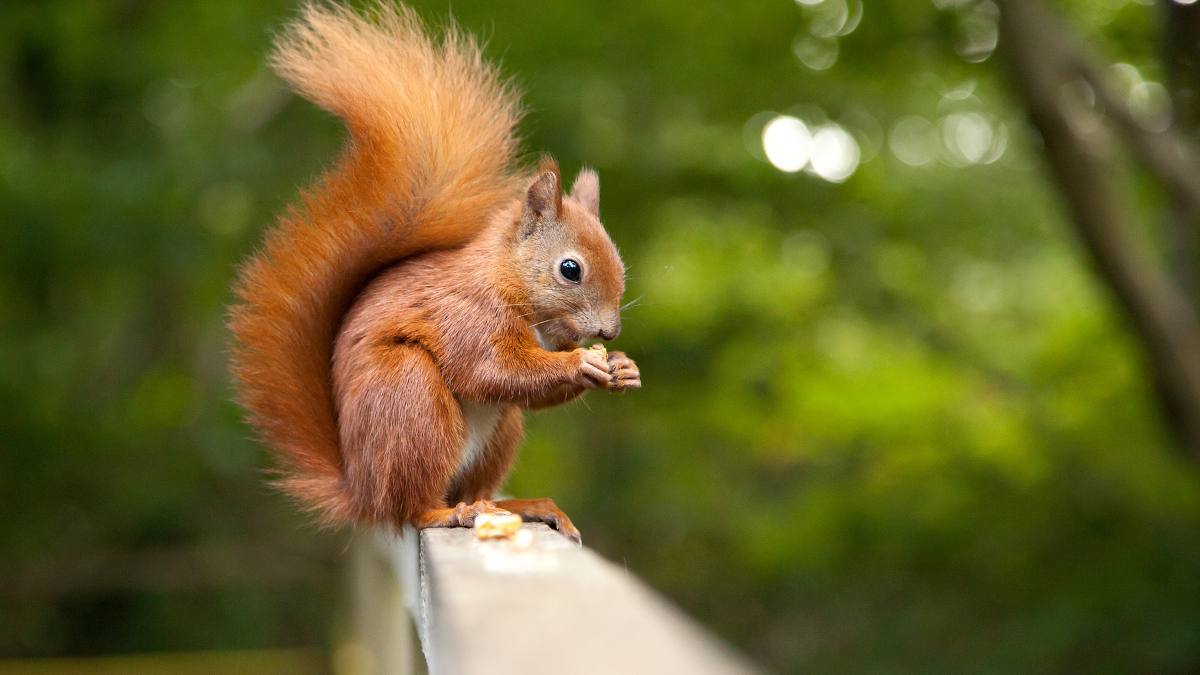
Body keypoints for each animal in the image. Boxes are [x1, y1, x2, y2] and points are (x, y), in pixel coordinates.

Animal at [228, 2, 638, 543]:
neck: (509, 282)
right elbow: (492, 370)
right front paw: (581, 363)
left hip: (496, 434)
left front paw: (622, 367)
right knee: (413, 506)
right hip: (412, 399)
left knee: (473, 483)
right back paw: (445, 513)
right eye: (570, 269)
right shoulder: (467, 315)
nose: (609, 332)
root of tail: (362, 491)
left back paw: (518, 505)